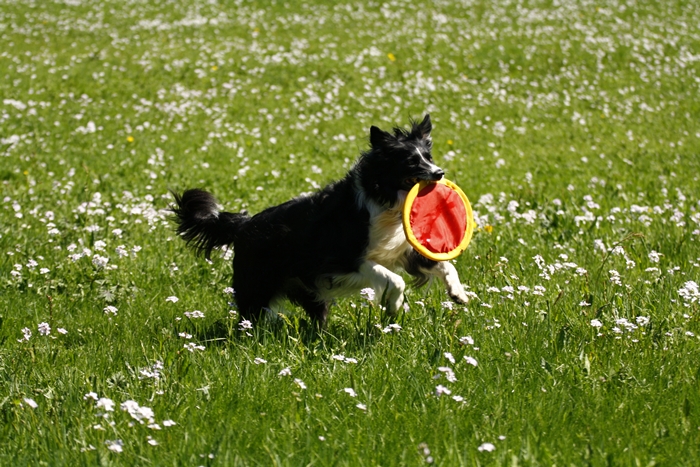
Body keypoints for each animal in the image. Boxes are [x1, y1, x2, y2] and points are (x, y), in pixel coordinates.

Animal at [174, 116, 470, 330]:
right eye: (410, 162)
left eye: (428, 157)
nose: (439, 173)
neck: (384, 200)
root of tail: (244, 224)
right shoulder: (346, 259)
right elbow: (394, 279)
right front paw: (394, 306)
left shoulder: (404, 250)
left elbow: (445, 265)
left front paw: (459, 294)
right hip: (256, 285)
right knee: (249, 314)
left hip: (307, 290)